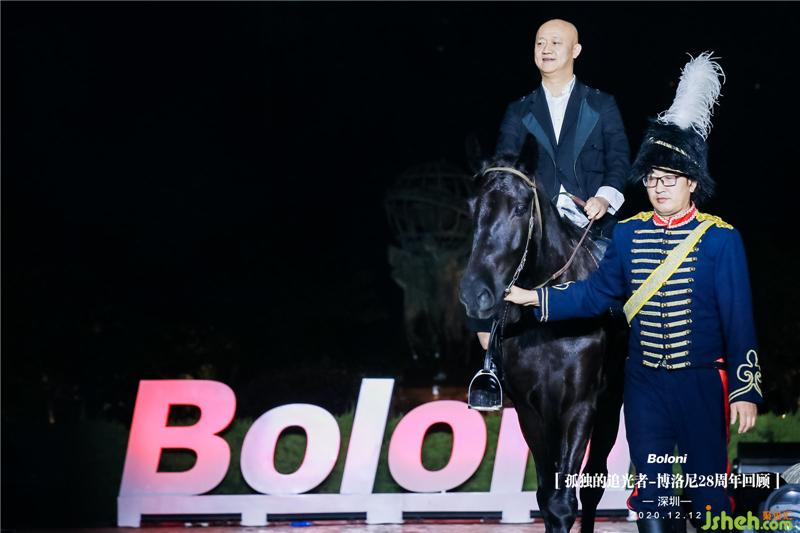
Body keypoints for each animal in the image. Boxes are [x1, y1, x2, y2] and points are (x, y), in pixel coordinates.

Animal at [458, 144, 626, 533]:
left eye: (521, 207)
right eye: (473, 208)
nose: (475, 294)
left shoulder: (580, 406)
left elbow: (564, 501)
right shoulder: (531, 411)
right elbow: (547, 498)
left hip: (610, 405)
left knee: (593, 484)